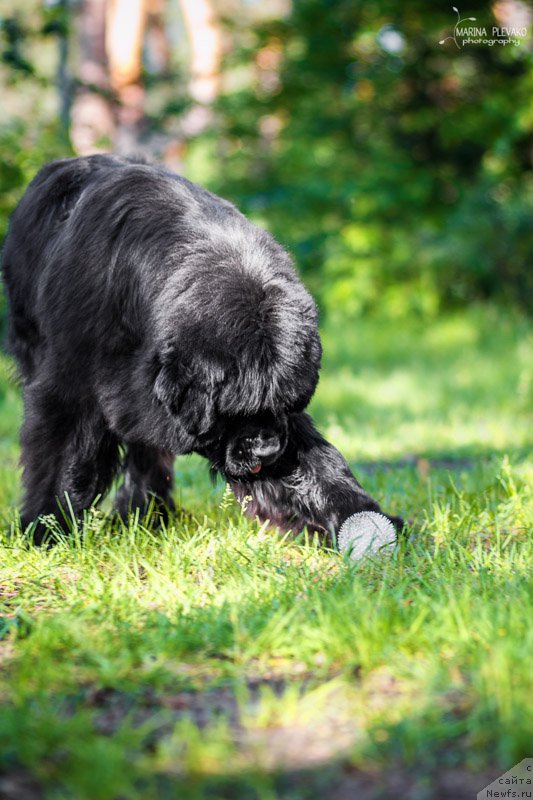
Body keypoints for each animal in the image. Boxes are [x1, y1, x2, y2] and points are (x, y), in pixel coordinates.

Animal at [2, 155, 404, 544]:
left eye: (286, 405)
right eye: (236, 412)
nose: (268, 450)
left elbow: (311, 463)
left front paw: (359, 516)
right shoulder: (72, 383)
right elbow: (65, 452)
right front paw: (47, 530)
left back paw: (146, 515)